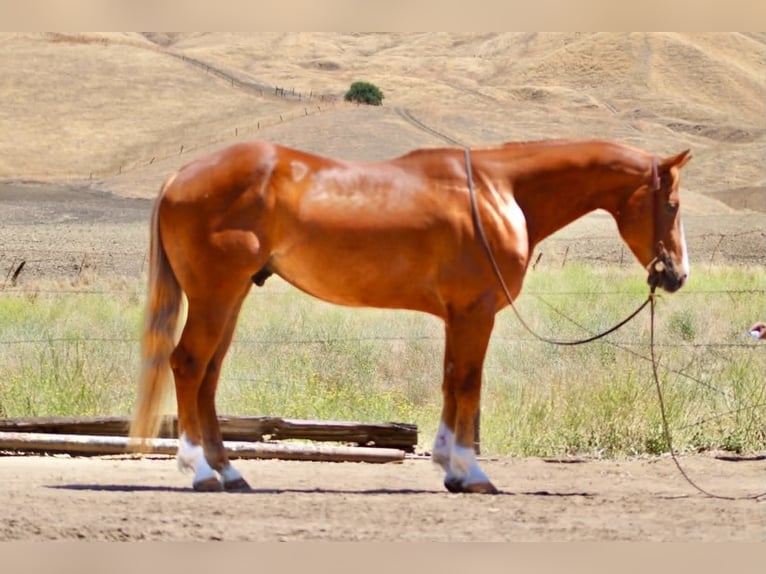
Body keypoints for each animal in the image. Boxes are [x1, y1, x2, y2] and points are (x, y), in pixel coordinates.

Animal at [129, 138, 692, 494]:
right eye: (673, 204)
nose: (676, 275)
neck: (499, 193)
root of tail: (181, 176)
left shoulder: (457, 316)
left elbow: (449, 383)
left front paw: (449, 467)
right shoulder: (475, 312)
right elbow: (468, 384)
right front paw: (471, 473)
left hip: (232, 297)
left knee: (208, 376)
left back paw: (230, 473)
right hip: (215, 296)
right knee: (187, 365)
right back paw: (200, 472)